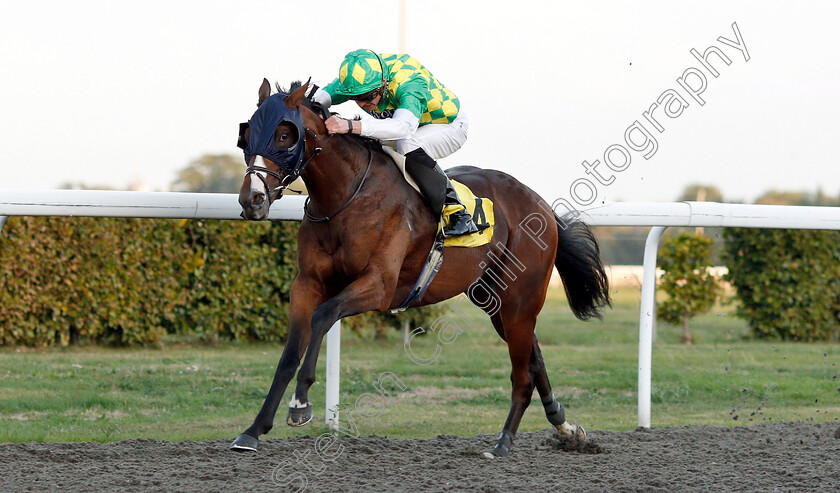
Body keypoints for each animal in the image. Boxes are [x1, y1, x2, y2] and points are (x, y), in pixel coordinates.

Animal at [231, 78, 612, 458]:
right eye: (247, 134)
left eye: (284, 135)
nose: (252, 200)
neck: (346, 198)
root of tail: (541, 204)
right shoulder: (307, 284)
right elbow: (288, 355)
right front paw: (253, 431)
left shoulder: (379, 286)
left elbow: (323, 316)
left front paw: (300, 404)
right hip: (496, 302)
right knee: (534, 359)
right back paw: (566, 427)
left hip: (520, 301)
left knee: (522, 374)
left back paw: (503, 442)